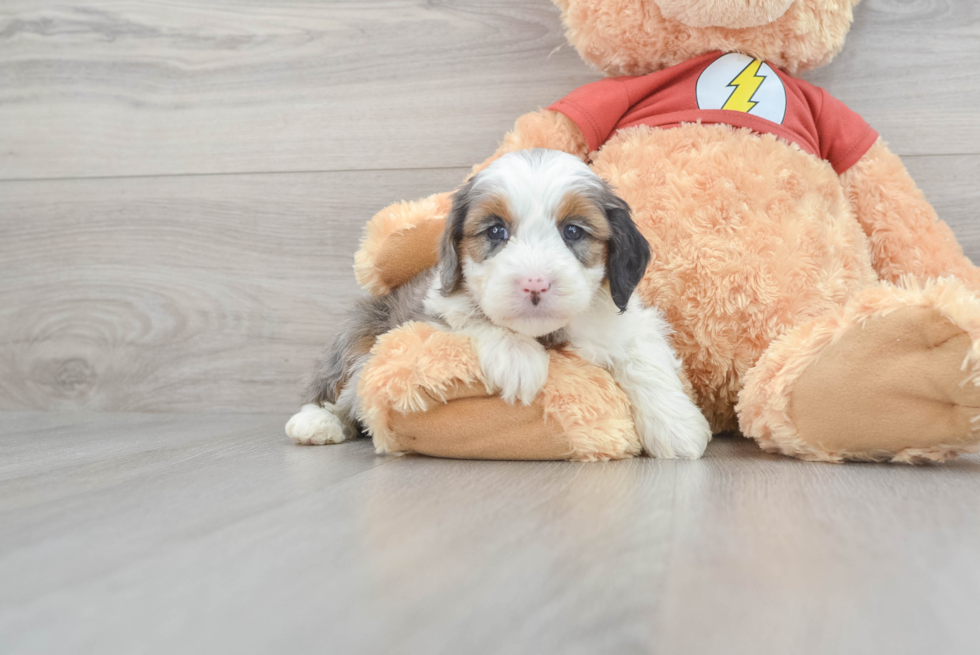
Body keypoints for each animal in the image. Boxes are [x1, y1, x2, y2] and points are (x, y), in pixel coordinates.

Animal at [288, 149, 708, 458]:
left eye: (573, 231)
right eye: (495, 231)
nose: (534, 283)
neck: (547, 334)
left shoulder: (627, 320)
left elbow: (643, 357)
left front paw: (677, 427)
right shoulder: (433, 310)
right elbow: (474, 317)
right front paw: (519, 359)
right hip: (360, 333)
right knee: (338, 389)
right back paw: (316, 424)